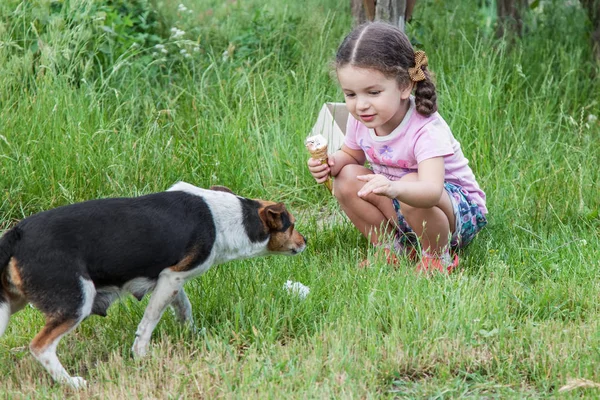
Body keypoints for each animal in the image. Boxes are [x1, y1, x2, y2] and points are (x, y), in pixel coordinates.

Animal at [0, 181, 308, 388]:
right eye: (291, 225)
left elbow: (184, 307)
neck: (229, 217)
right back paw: (71, 382)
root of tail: (17, 234)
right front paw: (141, 355)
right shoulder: (172, 276)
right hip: (77, 301)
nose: (305, 242)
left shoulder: (172, 279)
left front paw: (192, 334)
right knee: (41, 346)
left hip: (8, 305)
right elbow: (150, 320)